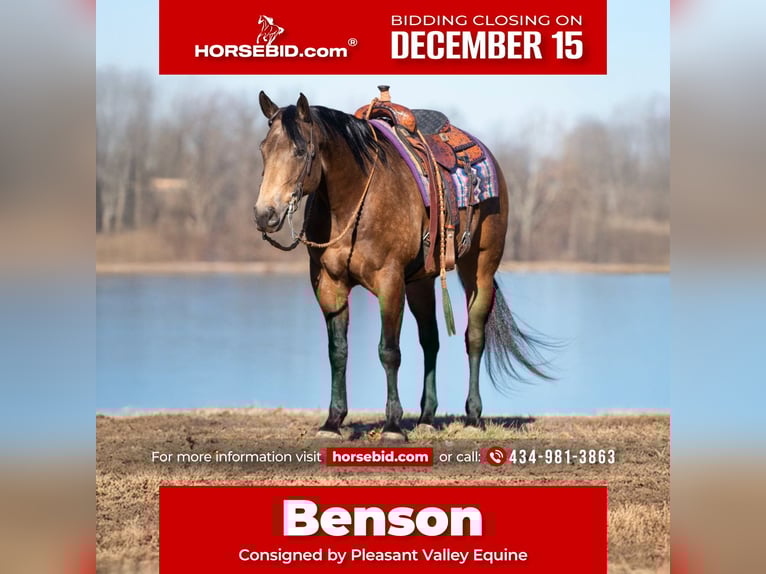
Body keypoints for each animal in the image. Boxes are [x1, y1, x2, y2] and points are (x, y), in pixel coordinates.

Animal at [254, 92, 551, 440]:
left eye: (300, 151)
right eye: (263, 149)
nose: (265, 214)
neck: (353, 201)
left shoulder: (390, 282)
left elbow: (389, 352)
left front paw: (393, 425)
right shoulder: (329, 284)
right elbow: (337, 351)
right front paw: (333, 422)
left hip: (479, 270)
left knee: (474, 337)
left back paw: (473, 416)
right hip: (421, 282)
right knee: (431, 340)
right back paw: (426, 416)